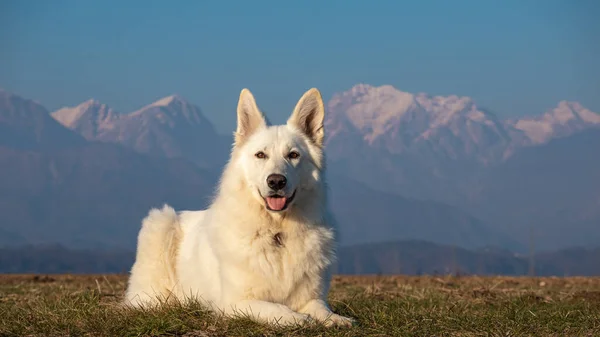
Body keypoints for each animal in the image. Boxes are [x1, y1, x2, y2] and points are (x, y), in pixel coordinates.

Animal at [124, 87, 354, 326]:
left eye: (293, 155)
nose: (276, 181)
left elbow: (321, 308)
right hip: (161, 222)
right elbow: (275, 308)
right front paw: (297, 318)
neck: (277, 232)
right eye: (260, 155)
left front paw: (336, 319)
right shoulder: (236, 302)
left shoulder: (311, 296)